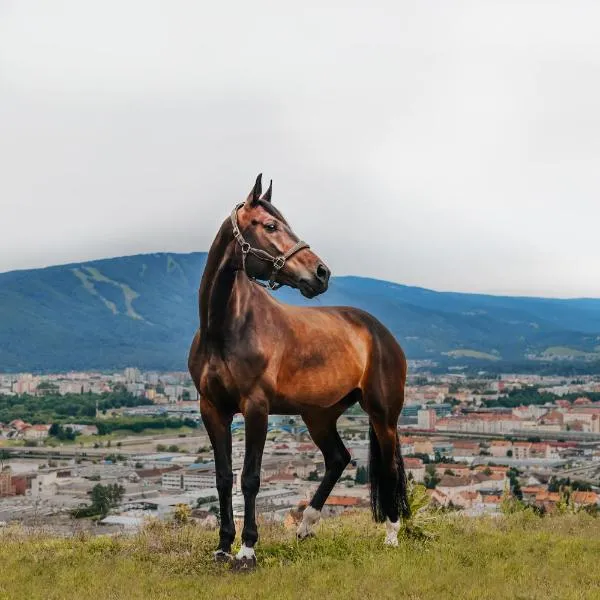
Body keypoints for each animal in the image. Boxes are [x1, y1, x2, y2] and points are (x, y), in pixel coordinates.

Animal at [190, 173, 410, 568]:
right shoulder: (211, 409)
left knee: (389, 468)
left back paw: (391, 534)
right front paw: (223, 545)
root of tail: (380, 332)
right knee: (338, 458)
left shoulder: (256, 407)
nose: (321, 273)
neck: (224, 327)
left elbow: (250, 478)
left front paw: (247, 549)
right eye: (270, 225)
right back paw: (306, 525)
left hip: (383, 415)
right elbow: (223, 477)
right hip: (319, 415)